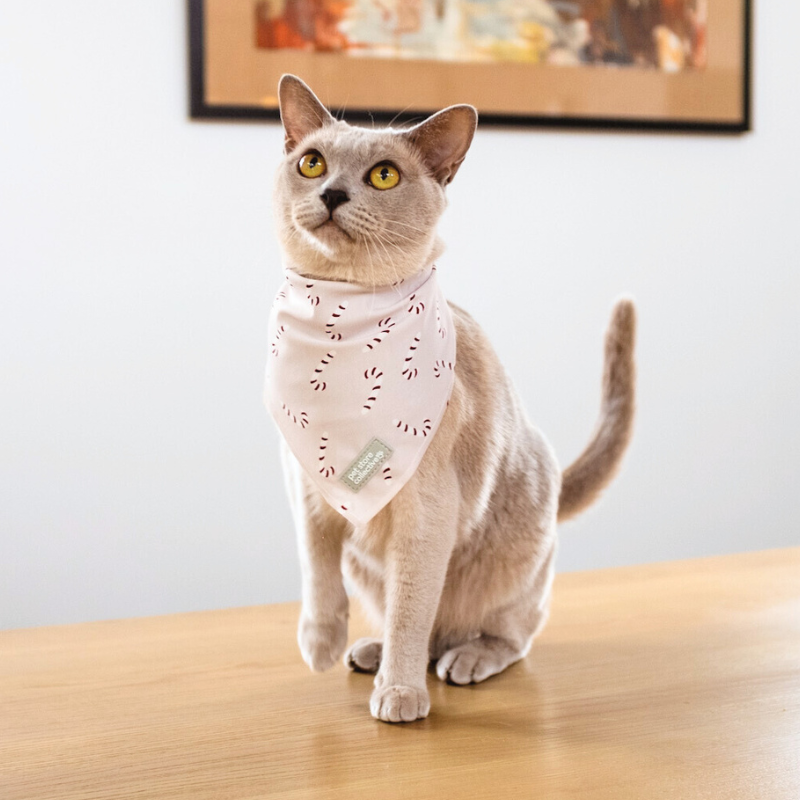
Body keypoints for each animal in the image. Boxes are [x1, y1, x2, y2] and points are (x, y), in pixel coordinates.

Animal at [268, 76, 636, 724]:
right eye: (312, 163)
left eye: (383, 175)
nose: (332, 193)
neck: (340, 320)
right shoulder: (307, 489)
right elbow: (318, 574)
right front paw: (320, 646)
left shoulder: (427, 514)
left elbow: (412, 610)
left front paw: (399, 693)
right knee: (426, 625)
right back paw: (365, 651)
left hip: (516, 553)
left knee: (496, 632)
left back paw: (461, 661)